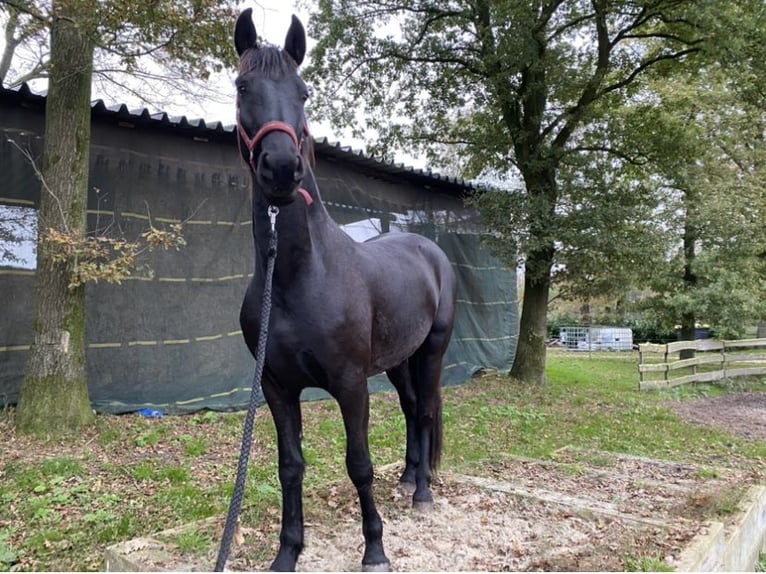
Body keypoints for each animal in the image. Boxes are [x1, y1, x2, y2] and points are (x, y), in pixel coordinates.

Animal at [236, 10, 456, 574]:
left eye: (304, 91)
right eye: (243, 86)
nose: (281, 168)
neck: (296, 278)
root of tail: (430, 250)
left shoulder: (351, 384)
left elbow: (359, 464)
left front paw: (374, 549)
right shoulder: (277, 388)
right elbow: (290, 466)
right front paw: (287, 552)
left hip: (431, 351)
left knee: (425, 410)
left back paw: (422, 493)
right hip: (398, 361)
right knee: (410, 410)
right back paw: (407, 478)